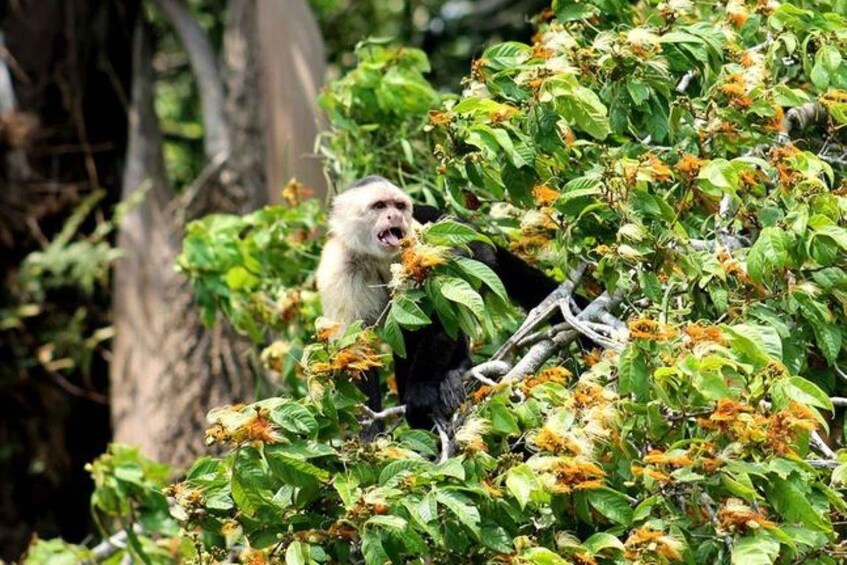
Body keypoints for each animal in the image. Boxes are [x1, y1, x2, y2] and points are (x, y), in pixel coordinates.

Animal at [316, 176, 561, 430]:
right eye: (380, 206)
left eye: (399, 206)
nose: (395, 216)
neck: (377, 258)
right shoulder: (338, 268)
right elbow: (355, 352)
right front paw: (369, 432)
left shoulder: (417, 249)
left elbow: (442, 310)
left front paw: (421, 392)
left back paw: (457, 370)